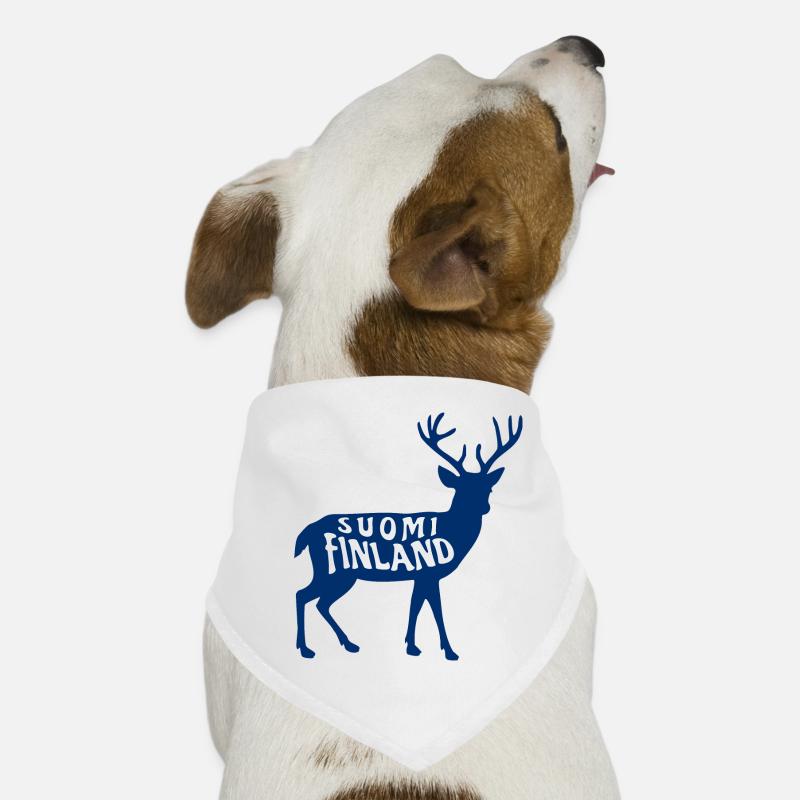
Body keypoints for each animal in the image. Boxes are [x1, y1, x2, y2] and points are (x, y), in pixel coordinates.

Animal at [294, 412, 523, 661]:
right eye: (461, 489)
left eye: (488, 489)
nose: (484, 507)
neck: (450, 533)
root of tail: (307, 530)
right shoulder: (429, 573)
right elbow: (433, 609)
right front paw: (445, 650)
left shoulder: (422, 576)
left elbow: (417, 606)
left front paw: (414, 646)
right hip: (334, 571)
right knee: (303, 595)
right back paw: (307, 649)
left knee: (319, 603)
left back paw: (347, 644)